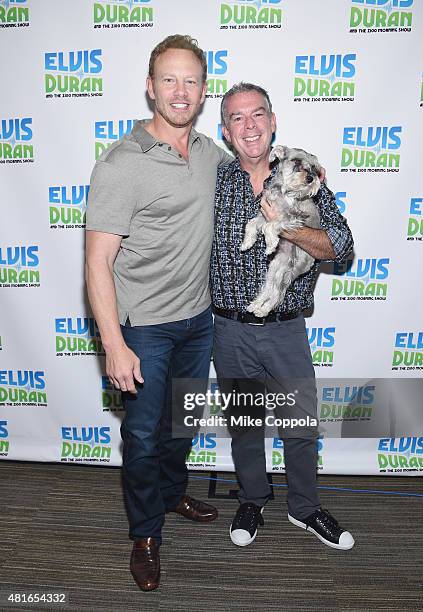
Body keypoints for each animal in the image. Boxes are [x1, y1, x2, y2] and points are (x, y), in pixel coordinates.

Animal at [242, 143, 322, 316]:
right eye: (297, 161)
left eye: (313, 167)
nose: (311, 178)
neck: (285, 191)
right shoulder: (264, 214)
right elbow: (251, 223)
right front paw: (246, 243)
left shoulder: (292, 218)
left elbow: (270, 226)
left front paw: (270, 244)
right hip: (276, 267)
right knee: (269, 288)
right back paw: (256, 305)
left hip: (289, 269)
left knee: (278, 293)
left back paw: (263, 310)